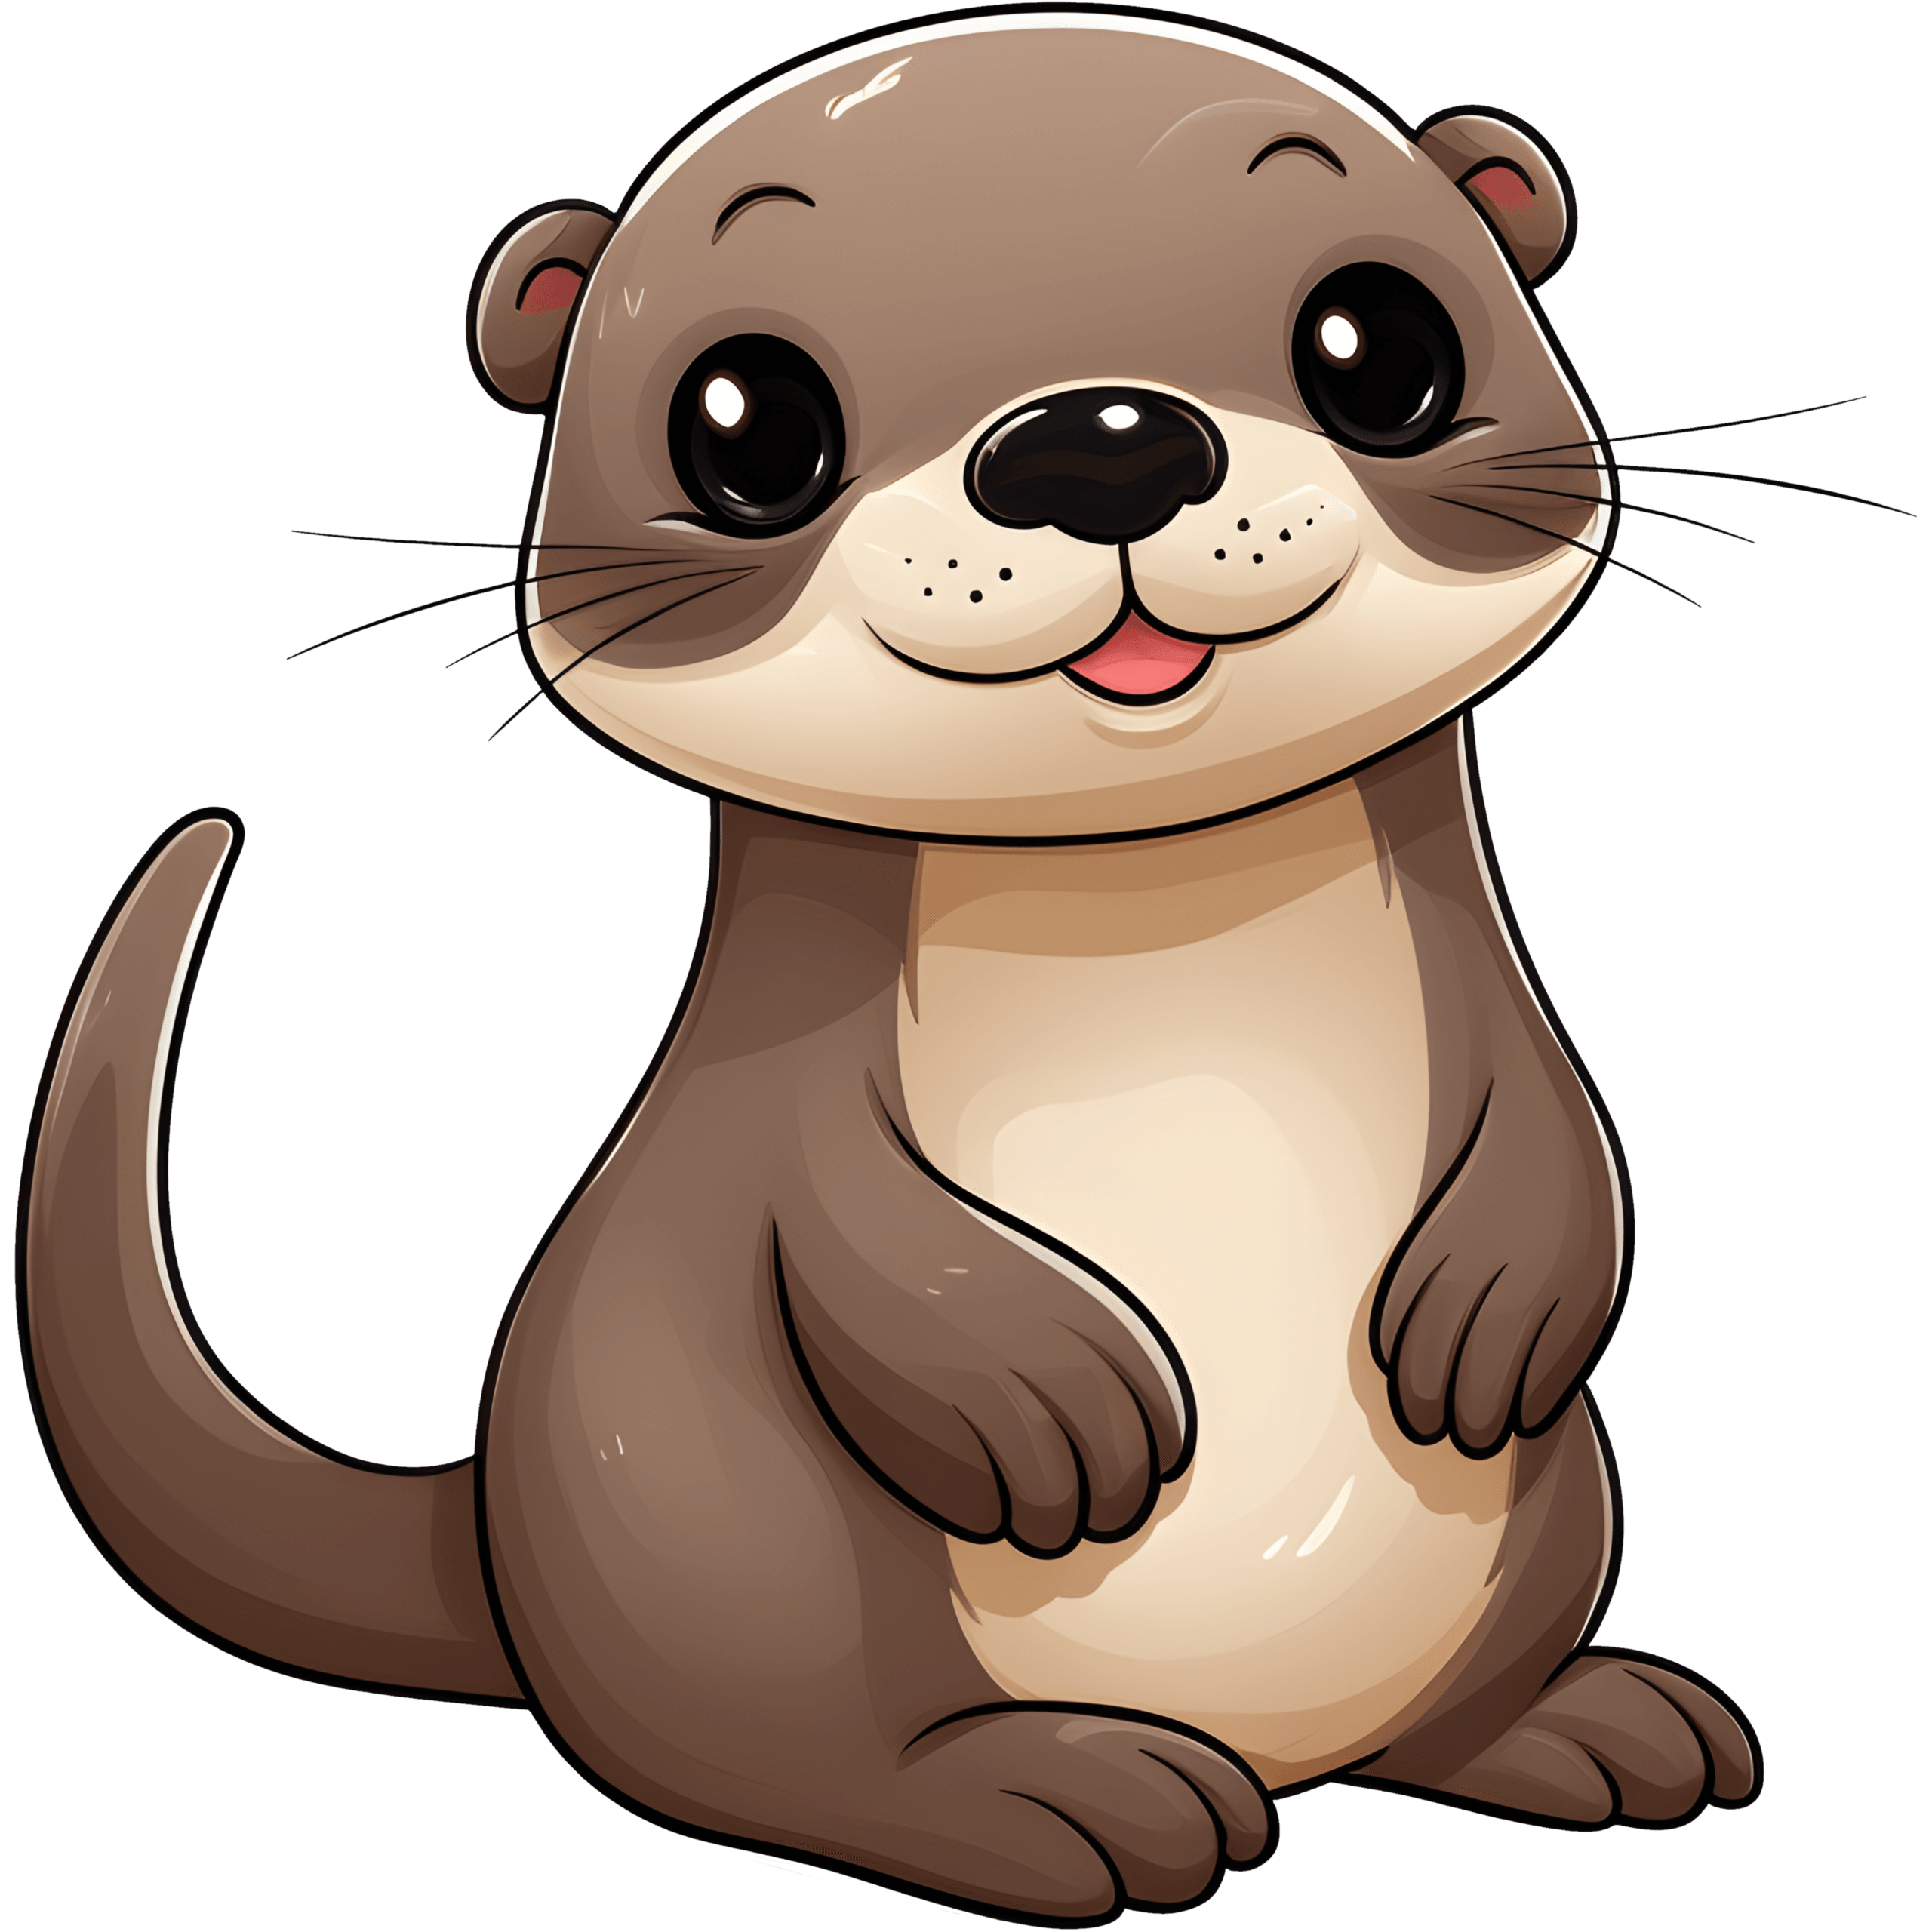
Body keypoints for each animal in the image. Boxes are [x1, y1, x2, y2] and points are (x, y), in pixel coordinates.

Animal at [19, 12, 1764, 1922]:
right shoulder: (768, 1122)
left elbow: (1564, 1125)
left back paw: (1572, 1725)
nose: (1097, 442)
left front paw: (1493, 1296)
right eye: (745, 421)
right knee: (798, 1747)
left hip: (1552, 1492)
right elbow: (835, 1216)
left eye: (1379, 342)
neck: (1145, 949)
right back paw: (1054, 1792)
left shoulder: (1493, 999)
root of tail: (490, 1525)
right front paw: (1038, 1388)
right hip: (719, 1499)